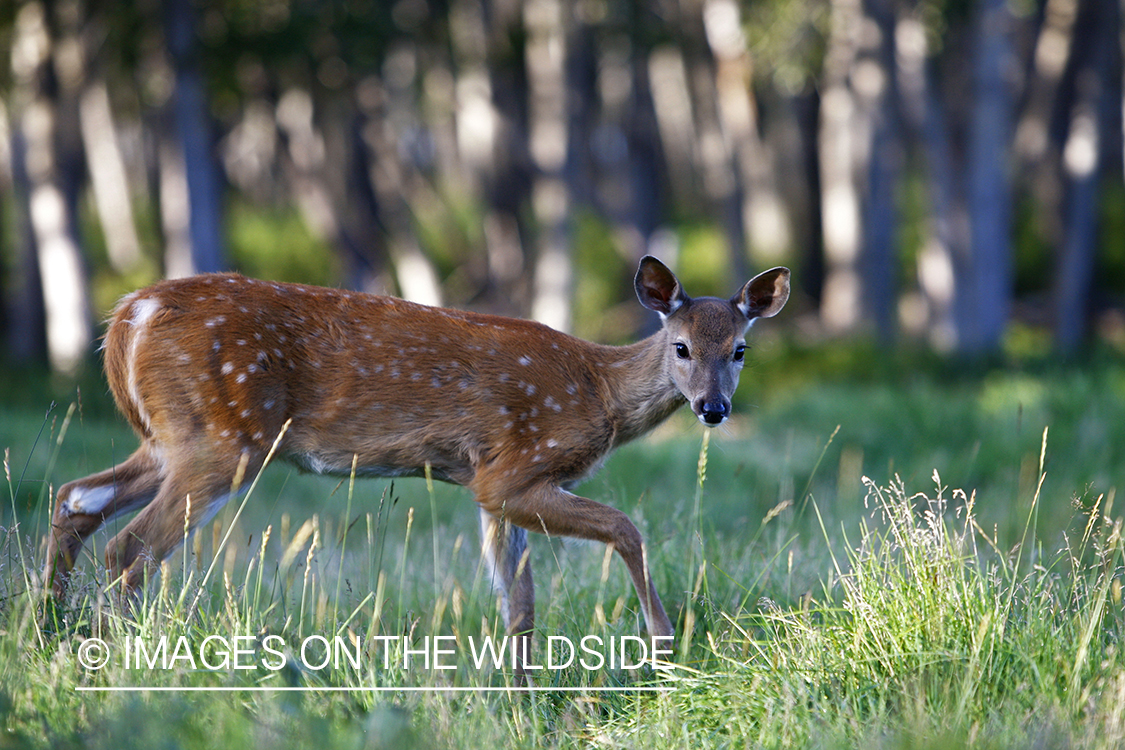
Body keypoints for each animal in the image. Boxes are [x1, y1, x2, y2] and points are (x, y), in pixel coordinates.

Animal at [44, 256, 789, 673]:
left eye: (740, 350)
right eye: (681, 346)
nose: (714, 409)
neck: (598, 390)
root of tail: (129, 315)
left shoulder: (495, 486)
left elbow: (519, 605)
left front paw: (522, 702)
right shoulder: (513, 469)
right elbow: (625, 528)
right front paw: (662, 646)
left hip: (170, 439)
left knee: (74, 498)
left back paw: (55, 640)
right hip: (222, 440)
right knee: (130, 545)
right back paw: (115, 665)